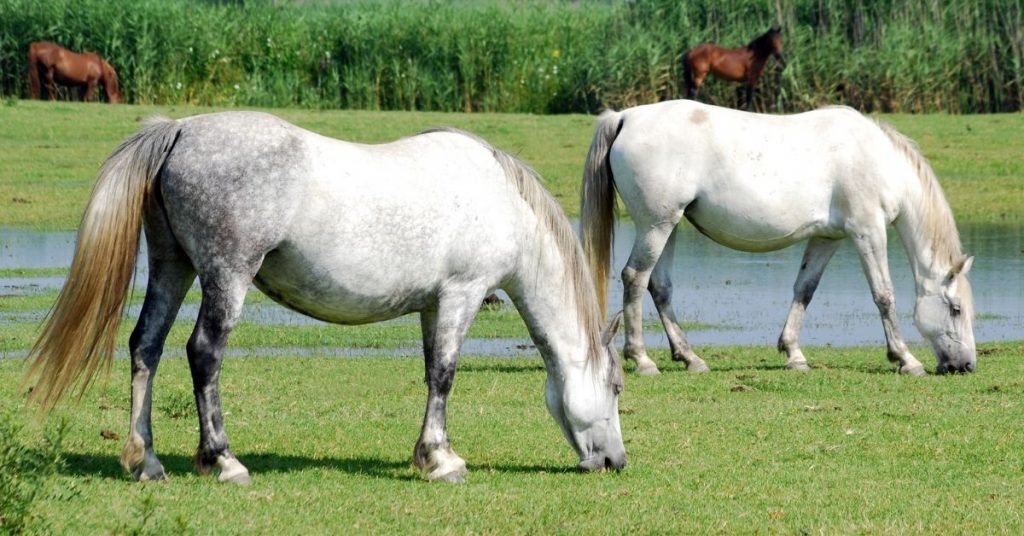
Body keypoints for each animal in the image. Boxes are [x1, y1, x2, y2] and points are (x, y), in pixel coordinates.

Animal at [25, 111, 627, 484]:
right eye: (617, 388)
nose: (616, 461)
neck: (501, 200)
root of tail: (179, 130)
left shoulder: (434, 305)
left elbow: (432, 371)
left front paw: (425, 454)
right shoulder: (463, 293)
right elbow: (445, 375)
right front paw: (443, 460)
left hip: (173, 267)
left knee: (145, 346)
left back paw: (146, 461)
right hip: (225, 277)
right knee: (203, 354)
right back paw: (224, 461)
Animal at [580, 100, 976, 377]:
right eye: (955, 308)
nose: (966, 365)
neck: (877, 159)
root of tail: (626, 117)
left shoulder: (827, 238)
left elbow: (805, 290)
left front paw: (794, 354)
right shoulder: (868, 231)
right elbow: (884, 295)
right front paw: (905, 358)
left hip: (669, 225)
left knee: (659, 286)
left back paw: (690, 357)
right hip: (656, 225)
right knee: (635, 278)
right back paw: (643, 360)